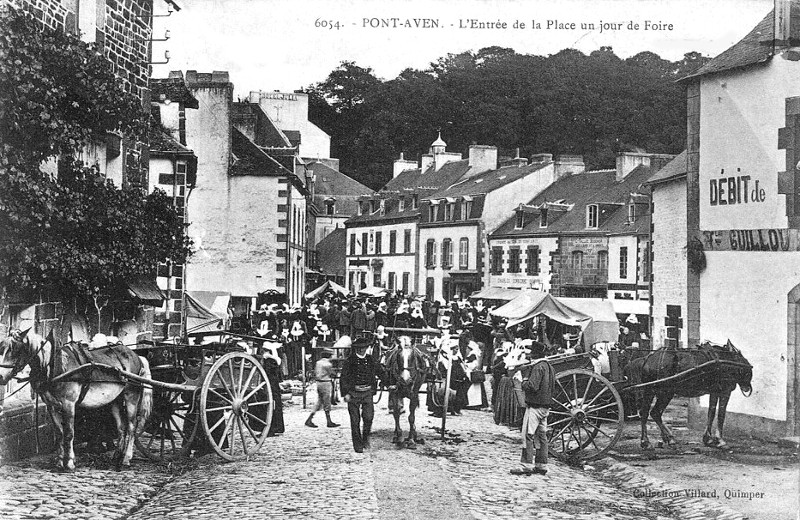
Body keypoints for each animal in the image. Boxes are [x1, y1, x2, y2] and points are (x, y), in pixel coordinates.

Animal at [0, 330, 152, 472]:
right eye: (2, 347)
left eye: (15, 350)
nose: (1, 377)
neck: (56, 367)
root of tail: (136, 356)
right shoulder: (51, 406)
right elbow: (60, 433)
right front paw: (60, 462)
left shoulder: (69, 404)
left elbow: (69, 434)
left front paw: (69, 463)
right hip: (115, 400)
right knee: (121, 427)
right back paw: (117, 456)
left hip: (131, 395)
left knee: (132, 427)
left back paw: (126, 458)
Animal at [624, 342, 752, 450]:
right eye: (746, 370)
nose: (747, 388)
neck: (726, 360)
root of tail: (647, 359)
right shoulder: (725, 391)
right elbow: (721, 414)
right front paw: (720, 440)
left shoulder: (714, 391)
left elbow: (711, 412)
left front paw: (708, 439)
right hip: (661, 391)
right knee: (650, 412)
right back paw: (651, 441)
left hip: (656, 391)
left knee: (650, 412)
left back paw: (662, 439)